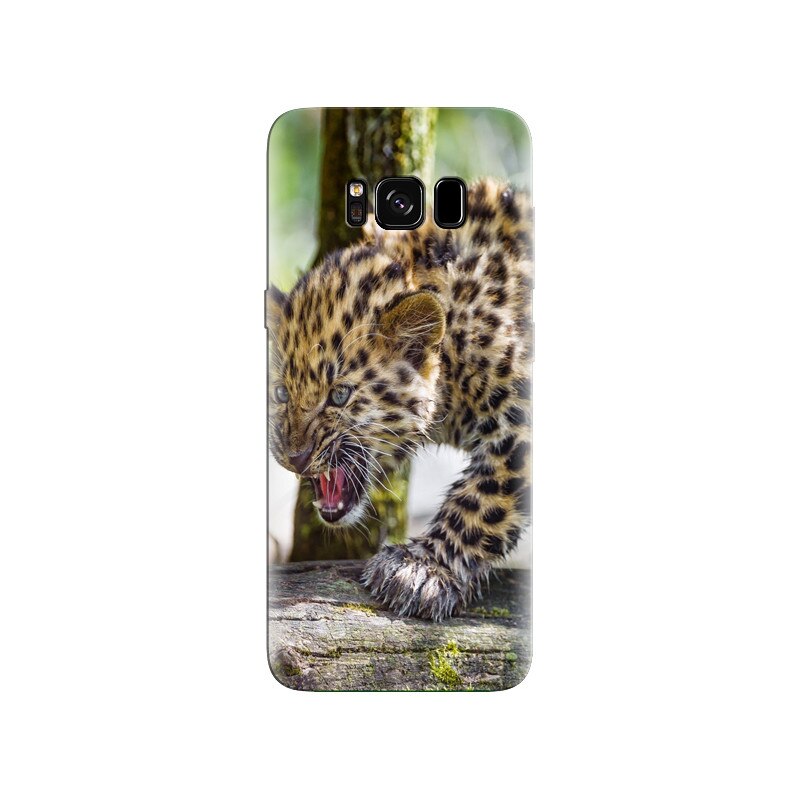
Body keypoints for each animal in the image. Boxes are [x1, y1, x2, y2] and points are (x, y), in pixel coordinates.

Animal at [267, 178, 532, 621]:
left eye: (340, 394)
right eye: (281, 392)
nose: (294, 458)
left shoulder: (521, 421)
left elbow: (485, 498)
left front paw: (422, 569)